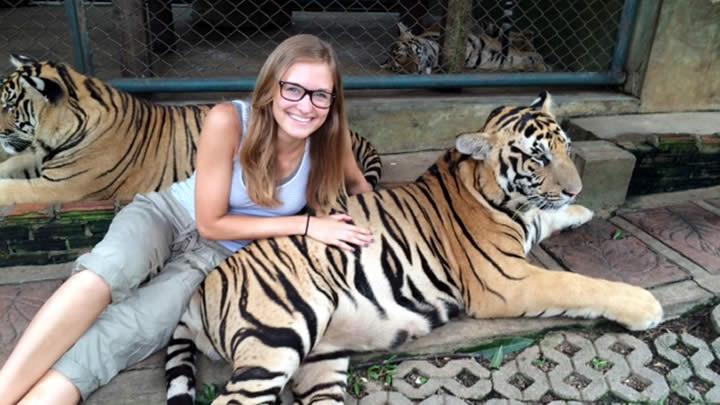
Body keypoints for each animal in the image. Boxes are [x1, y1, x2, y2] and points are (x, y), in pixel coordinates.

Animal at [165, 91, 664, 404]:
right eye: (538, 157)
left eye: (566, 147)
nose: (577, 189)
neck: (500, 195)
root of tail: (197, 294)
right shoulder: (506, 280)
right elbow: (580, 284)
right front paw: (645, 305)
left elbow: (549, 219)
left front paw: (579, 212)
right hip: (278, 338)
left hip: (321, 358)